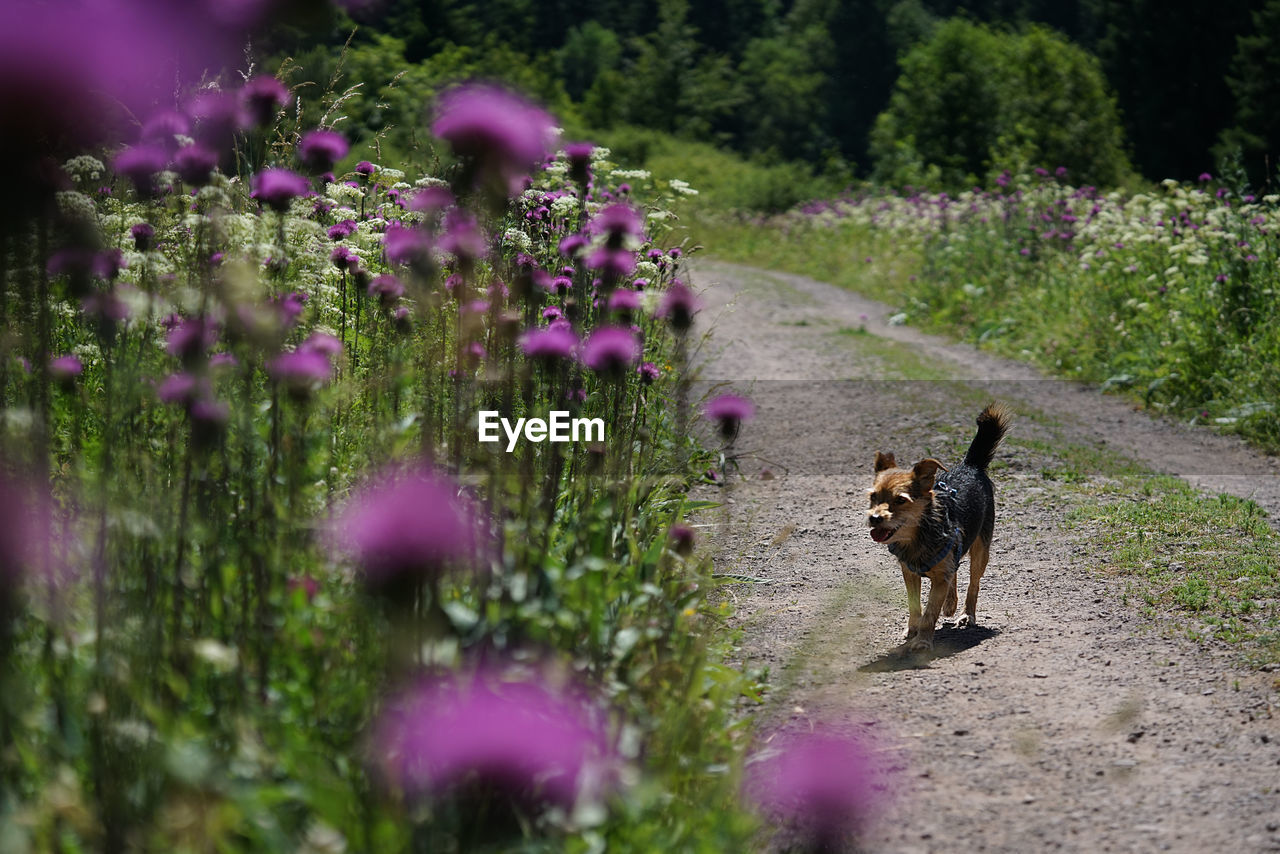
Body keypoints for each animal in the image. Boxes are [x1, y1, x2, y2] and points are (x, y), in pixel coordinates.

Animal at [870, 407, 1008, 655]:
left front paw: (923, 641)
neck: (918, 536)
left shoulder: (940, 578)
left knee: (973, 583)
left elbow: (930, 612)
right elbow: (915, 606)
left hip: (981, 550)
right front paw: (912, 630)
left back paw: (966, 614)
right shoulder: (910, 573)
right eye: (873, 497)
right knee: (955, 570)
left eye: (901, 500)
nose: (874, 518)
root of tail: (970, 465)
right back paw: (951, 603)